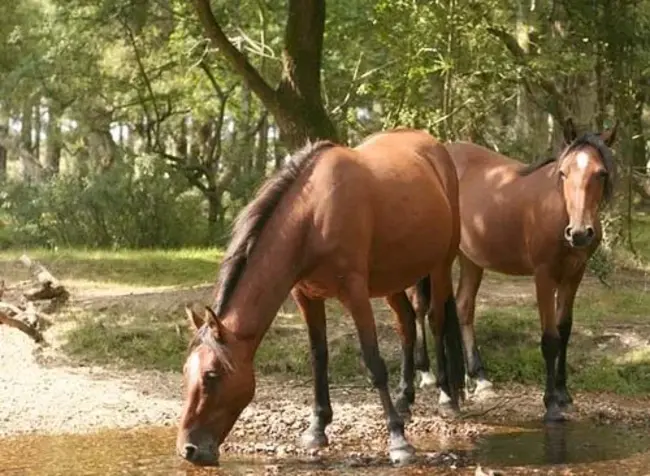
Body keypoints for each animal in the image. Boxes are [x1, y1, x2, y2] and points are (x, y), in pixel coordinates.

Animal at [175, 128, 464, 466]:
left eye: (212, 375)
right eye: (186, 372)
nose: (189, 450)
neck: (312, 216)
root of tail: (434, 147)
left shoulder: (355, 293)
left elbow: (374, 362)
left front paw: (398, 440)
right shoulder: (306, 296)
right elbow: (319, 356)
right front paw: (317, 427)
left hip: (441, 265)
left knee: (435, 320)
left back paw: (447, 397)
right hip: (393, 280)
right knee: (406, 323)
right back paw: (405, 399)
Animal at [408, 119, 616, 420]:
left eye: (600, 173)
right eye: (563, 173)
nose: (578, 233)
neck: (559, 210)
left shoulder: (574, 274)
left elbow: (564, 331)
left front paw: (564, 395)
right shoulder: (544, 275)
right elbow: (550, 338)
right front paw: (551, 404)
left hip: (471, 259)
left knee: (463, 307)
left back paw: (480, 379)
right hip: (438, 261)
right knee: (427, 310)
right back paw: (433, 381)